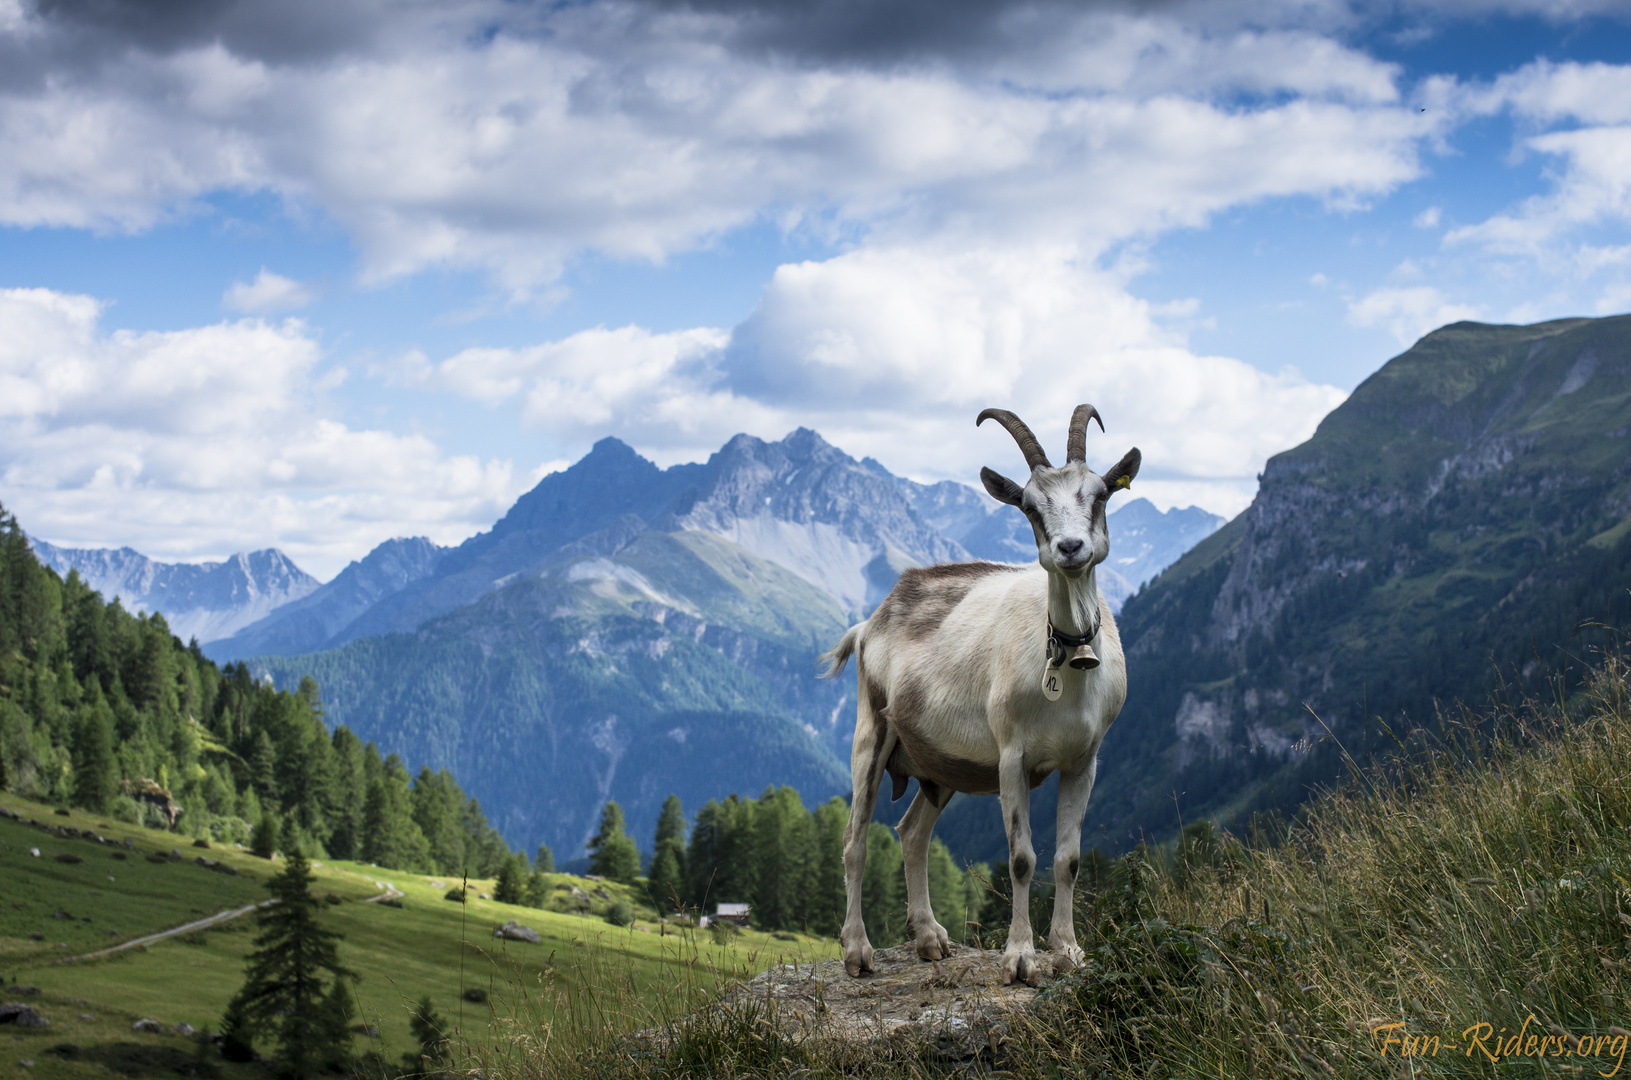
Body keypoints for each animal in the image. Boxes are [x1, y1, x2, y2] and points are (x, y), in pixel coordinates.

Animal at [822, 406, 1141, 991]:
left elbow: (1068, 858)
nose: (1070, 549)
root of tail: (871, 620)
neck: (1066, 666)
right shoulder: (1012, 755)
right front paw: (1020, 959)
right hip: (871, 732)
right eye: (1030, 507)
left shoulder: (1084, 760)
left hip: (940, 764)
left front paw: (1069, 952)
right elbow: (1021, 858)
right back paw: (857, 951)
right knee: (855, 839)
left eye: (1100, 493)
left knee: (911, 833)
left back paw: (929, 938)